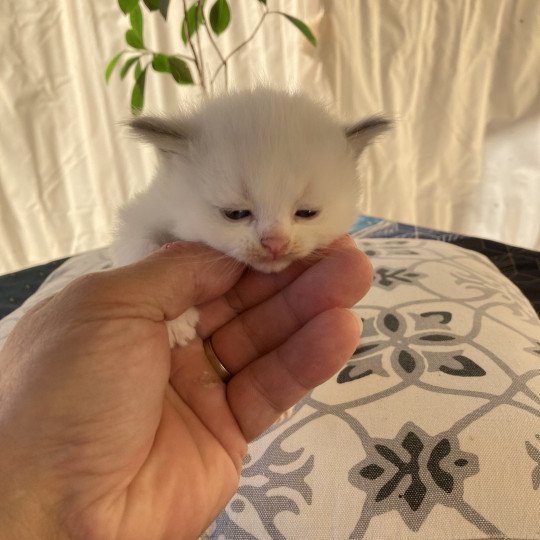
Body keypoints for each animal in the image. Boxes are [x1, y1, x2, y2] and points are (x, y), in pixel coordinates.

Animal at [110, 87, 388, 348]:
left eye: (307, 213)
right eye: (235, 213)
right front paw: (176, 322)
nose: (275, 244)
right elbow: (140, 245)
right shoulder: (142, 213)